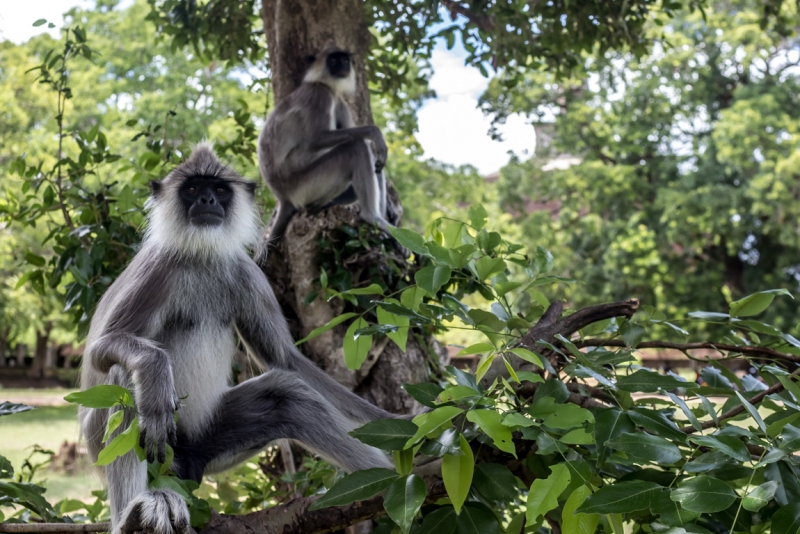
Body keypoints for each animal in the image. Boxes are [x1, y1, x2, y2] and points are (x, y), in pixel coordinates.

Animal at [78, 142, 396, 534]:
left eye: (219, 190)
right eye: (192, 190)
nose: (207, 202)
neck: (201, 255)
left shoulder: (246, 273)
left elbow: (284, 359)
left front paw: (409, 424)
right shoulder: (158, 269)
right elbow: (100, 351)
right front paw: (154, 372)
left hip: (202, 445)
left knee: (287, 394)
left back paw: (399, 477)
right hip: (111, 446)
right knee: (124, 379)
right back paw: (131, 515)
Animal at [256, 46, 400, 247]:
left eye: (345, 60)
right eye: (333, 60)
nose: (342, 66)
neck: (325, 85)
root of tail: (283, 198)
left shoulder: (338, 99)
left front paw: (391, 208)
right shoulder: (319, 95)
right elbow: (316, 140)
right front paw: (374, 133)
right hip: (306, 185)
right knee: (355, 147)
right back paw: (372, 218)